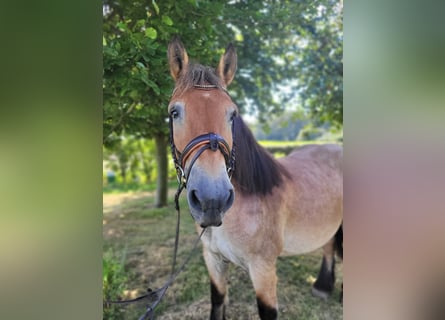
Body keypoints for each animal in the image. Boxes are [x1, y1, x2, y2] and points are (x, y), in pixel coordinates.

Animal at [166, 39, 344, 320]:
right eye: (174, 112)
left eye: (232, 114)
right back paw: (322, 286)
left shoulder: (263, 269)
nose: (212, 199)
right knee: (327, 246)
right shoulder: (213, 259)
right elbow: (217, 300)